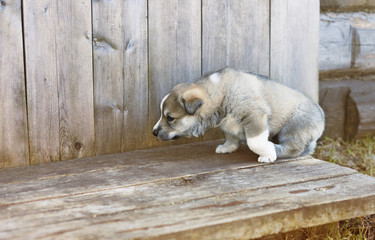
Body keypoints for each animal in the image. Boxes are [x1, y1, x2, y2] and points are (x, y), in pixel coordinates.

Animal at [153, 68, 326, 163]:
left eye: (170, 118)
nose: (153, 132)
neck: (220, 94)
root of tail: (322, 119)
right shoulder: (227, 125)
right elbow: (230, 136)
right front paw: (227, 147)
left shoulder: (255, 116)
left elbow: (255, 142)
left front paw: (268, 154)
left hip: (294, 125)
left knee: (294, 148)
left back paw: (275, 149)